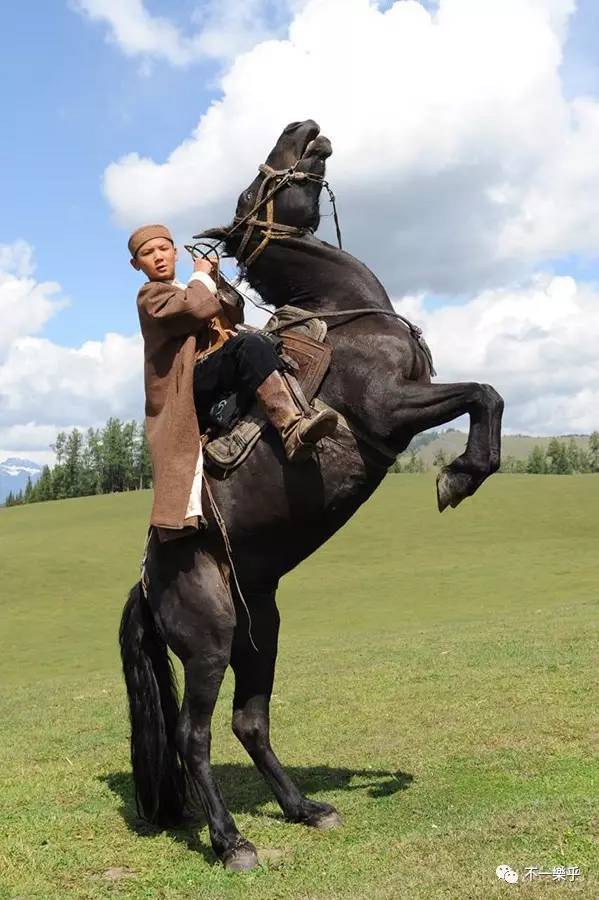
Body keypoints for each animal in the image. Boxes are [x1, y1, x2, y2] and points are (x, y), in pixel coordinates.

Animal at [119, 119, 504, 872]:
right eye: (251, 186)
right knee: (194, 737)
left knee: (250, 721)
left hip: (259, 631)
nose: (303, 128)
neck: (346, 319)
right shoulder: (389, 408)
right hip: (208, 644)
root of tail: (149, 581)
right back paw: (232, 842)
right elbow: (482, 393)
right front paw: (461, 474)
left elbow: (486, 394)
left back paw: (304, 808)